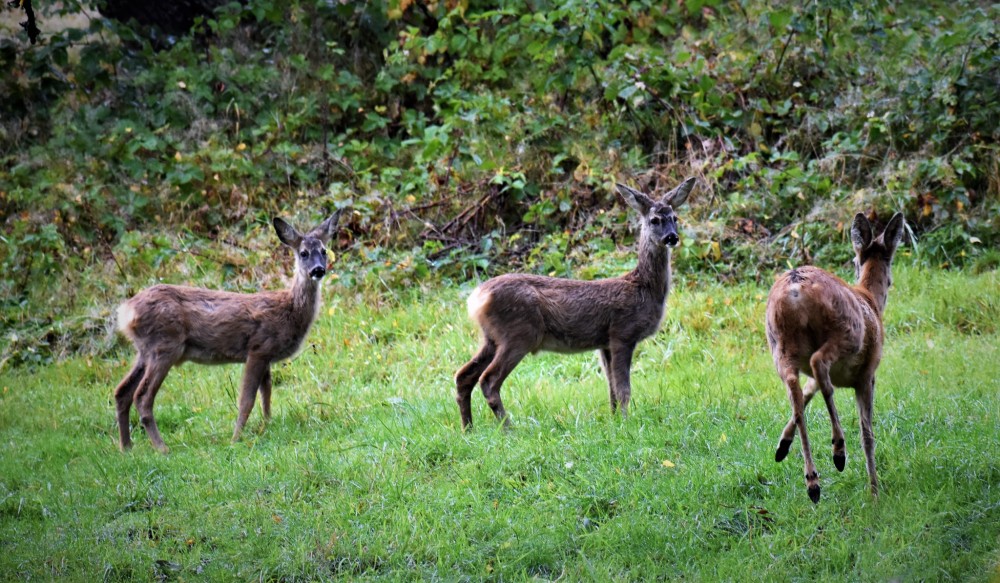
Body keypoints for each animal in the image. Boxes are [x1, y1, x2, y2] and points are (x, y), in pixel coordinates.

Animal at [114, 212, 344, 454]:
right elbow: (247, 400)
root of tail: (126, 312)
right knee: (142, 396)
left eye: (324, 251)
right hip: (165, 345)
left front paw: (267, 425)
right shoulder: (258, 349)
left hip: (145, 350)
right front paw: (236, 439)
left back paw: (126, 447)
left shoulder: (266, 355)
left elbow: (267, 395)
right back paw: (162, 448)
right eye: (303, 253)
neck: (289, 309)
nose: (318, 270)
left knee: (122, 392)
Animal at [454, 176, 696, 426]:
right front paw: (626, 422)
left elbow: (611, 389)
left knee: (463, 376)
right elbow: (623, 389)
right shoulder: (622, 333)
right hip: (519, 333)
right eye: (654, 220)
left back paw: (468, 428)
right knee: (488, 380)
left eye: (675, 218)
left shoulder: (604, 343)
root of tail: (476, 298)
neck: (644, 288)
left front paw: (614, 421)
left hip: (491, 337)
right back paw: (509, 428)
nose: (672, 237)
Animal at [764, 212, 908, 504]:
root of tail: (795, 287)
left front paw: (782, 445)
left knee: (795, 388)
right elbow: (867, 434)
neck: (870, 300)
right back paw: (838, 451)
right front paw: (874, 491)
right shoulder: (868, 375)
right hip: (845, 333)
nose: (891, 283)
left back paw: (812, 481)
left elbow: (807, 394)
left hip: (780, 345)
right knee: (820, 366)